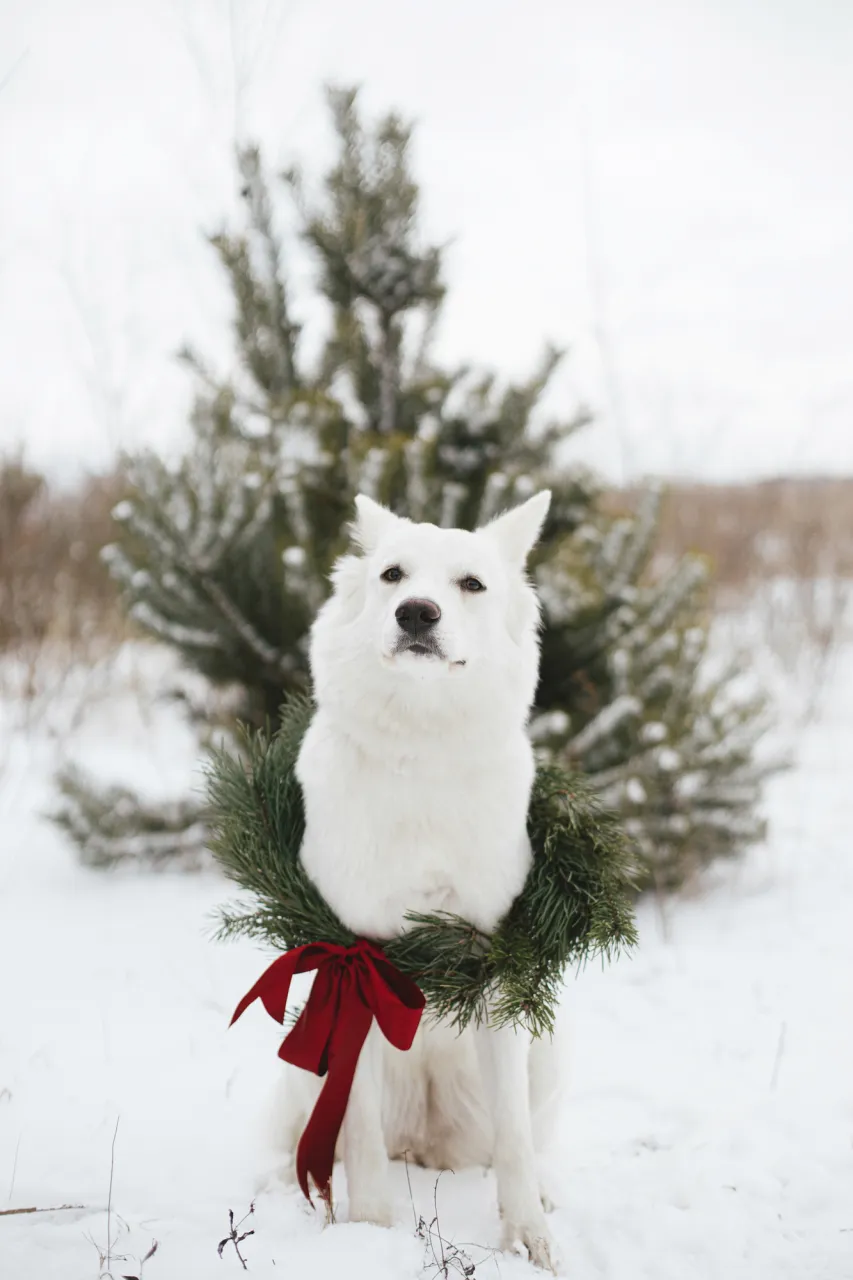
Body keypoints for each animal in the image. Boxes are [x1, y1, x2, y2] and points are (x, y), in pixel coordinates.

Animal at [275, 488, 560, 1269]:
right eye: (393, 575)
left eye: (470, 584)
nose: (416, 614)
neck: (422, 751)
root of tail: (429, 1142)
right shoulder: (358, 963)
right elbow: (361, 1134)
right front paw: (370, 1235)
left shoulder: (497, 960)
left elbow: (519, 1141)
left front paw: (528, 1237)